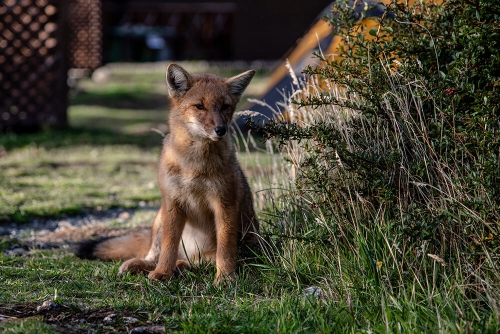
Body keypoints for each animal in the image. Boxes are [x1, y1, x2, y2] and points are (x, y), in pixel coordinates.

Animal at [77, 63, 262, 284]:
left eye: (225, 106)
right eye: (199, 106)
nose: (221, 130)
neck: (193, 166)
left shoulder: (224, 203)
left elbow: (225, 250)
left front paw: (225, 278)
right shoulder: (173, 202)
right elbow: (168, 248)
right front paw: (163, 273)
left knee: (194, 264)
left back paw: (181, 267)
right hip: (160, 216)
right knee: (154, 255)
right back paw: (141, 266)